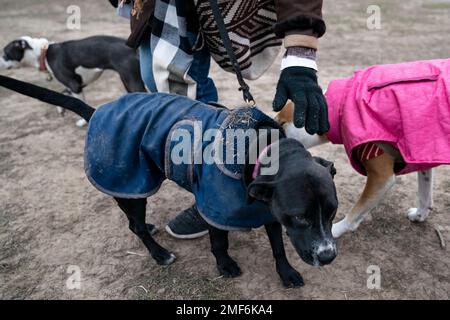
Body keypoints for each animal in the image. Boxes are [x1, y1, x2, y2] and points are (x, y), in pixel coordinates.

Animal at [0, 34, 146, 125]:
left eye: (6, 54)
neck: (43, 53)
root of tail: (134, 49)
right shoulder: (74, 85)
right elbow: (63, 94)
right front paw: (61, 109)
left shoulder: (75, 86)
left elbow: (79, 102)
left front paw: (83, 122)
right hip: (128, 81)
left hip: (131, 81)